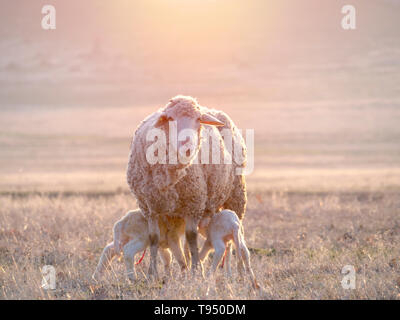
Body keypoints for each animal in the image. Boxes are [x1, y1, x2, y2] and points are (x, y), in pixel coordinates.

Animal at [127, 95, 247, 278]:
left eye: (198, 119)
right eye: (170, 118)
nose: (187, 147)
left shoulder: (194, 203)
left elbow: (191, 237)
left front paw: (197, 270)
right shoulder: (150, 207)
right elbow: (154, 237)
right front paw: (152, 273)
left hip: (236, 194)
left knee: (235, 238)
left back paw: (234, 271)